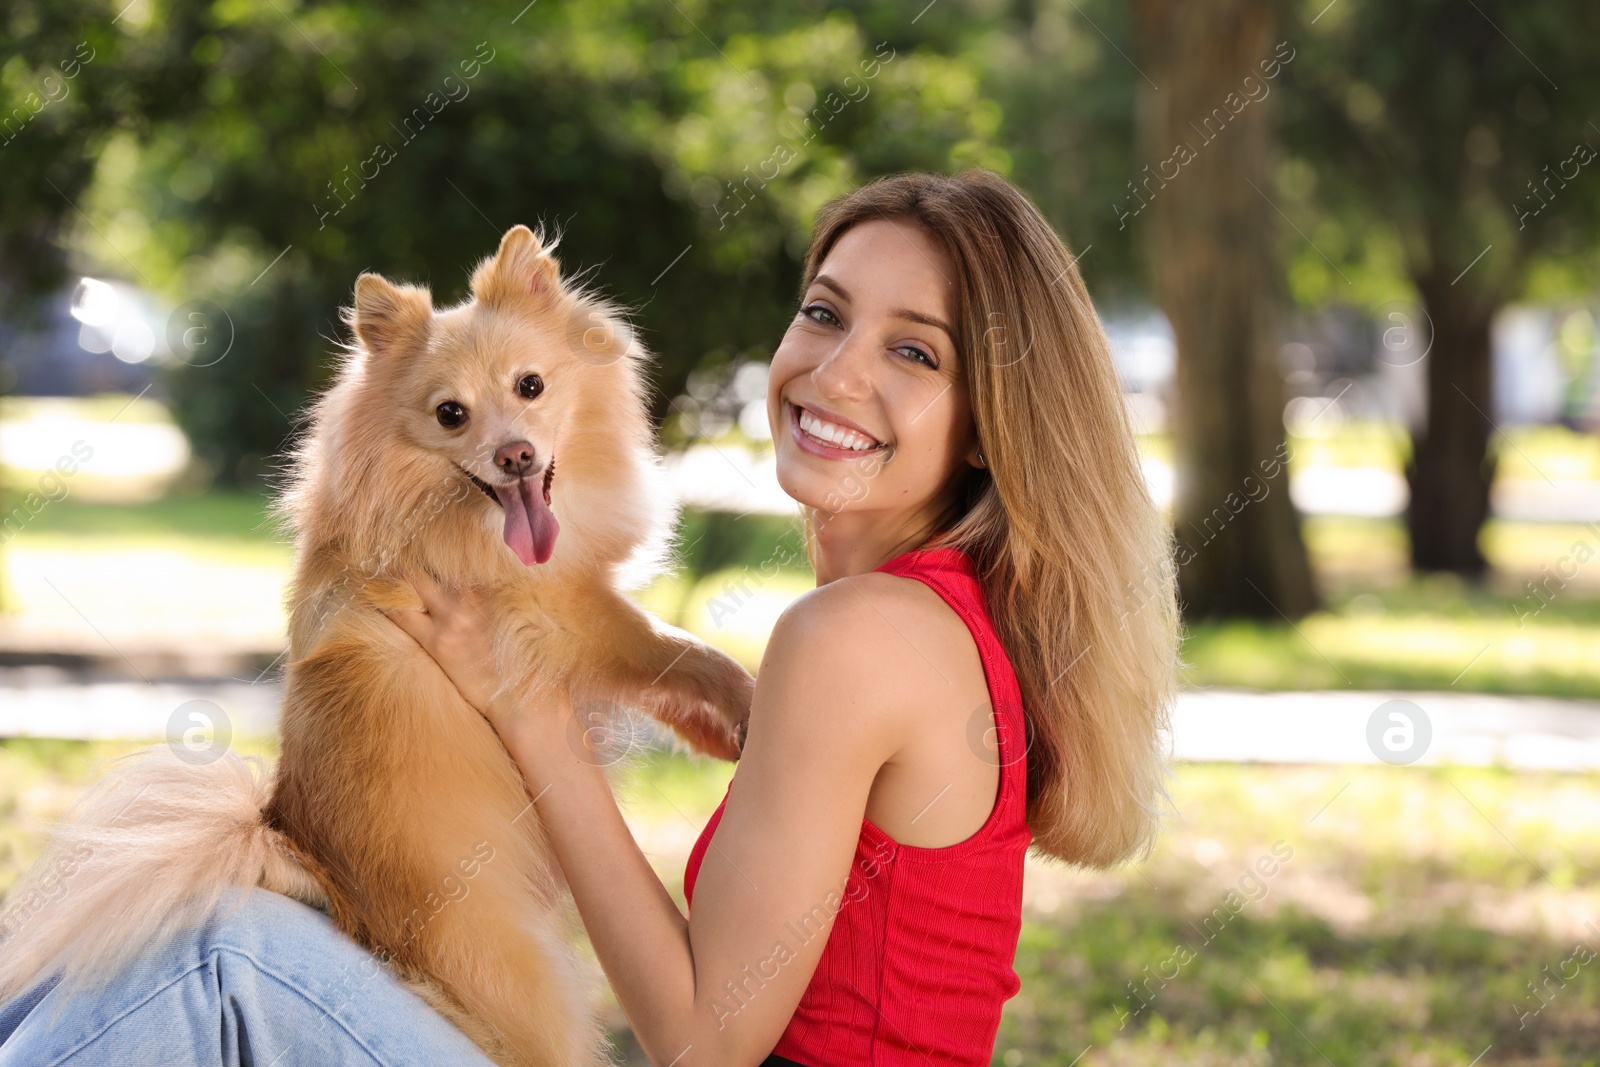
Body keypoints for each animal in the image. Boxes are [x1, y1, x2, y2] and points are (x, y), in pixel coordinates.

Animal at [0, 227, 755, 1067]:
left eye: (530, 386)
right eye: (451, 414)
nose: (516, 455)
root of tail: (305, 857)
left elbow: (668, 660)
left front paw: (725, 731)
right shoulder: (561, 612)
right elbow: (673, 647)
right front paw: (746, 704)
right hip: (525, 977)